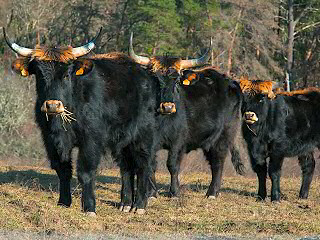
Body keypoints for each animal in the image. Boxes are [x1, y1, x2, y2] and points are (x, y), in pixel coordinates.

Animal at [3, 27, 159, 214]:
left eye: (66, 74)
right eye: (39, 74)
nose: (52, 105)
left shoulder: (91, 140)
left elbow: (86, 172)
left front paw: (89, 207)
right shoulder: (51, 139)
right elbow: (62, 169)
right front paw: (63, 202)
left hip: (143, 135)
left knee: (144, 164)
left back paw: (139, 205)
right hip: (121, 140)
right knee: (126, 167)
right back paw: (126, 203)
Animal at [129, 34, 244, 199]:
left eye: (177, 80)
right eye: (156, 79)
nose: (168, 107)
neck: (161, 122)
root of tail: (230, 81)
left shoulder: (178, 142)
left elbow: (172, 165)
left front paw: (175, 192)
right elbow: (151, 165)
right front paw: (151, 193)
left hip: (224, 136)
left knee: (218, 162)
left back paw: (212, 192)